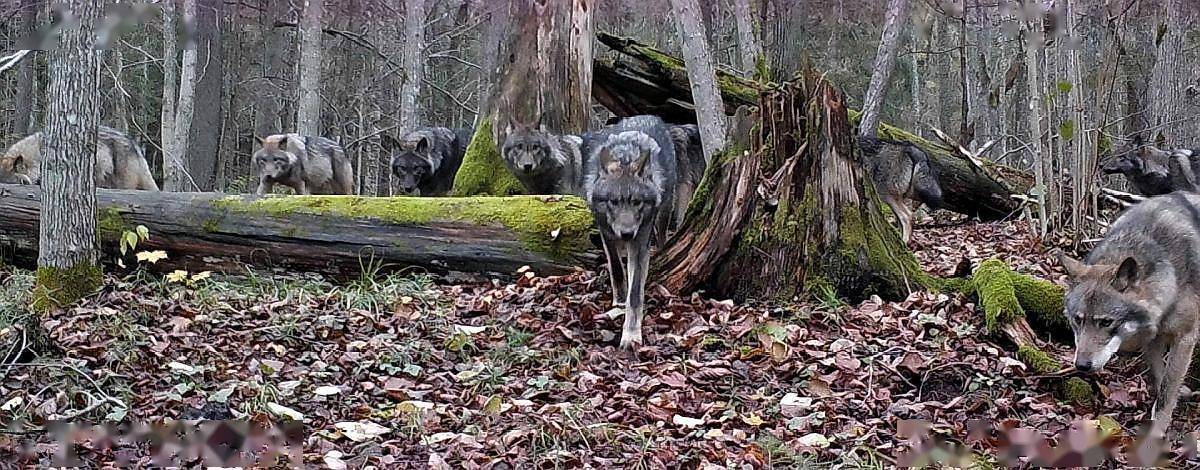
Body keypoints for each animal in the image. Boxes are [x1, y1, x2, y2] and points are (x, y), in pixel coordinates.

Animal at [585, 113, 681, 347]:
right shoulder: (606, 233)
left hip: (663, 213)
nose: (627, 234)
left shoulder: (640, 242)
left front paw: (631, 335)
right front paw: (619, 299)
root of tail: (648, 116)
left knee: (662, 235)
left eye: (637, 202)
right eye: (613, 202)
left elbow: (636, 293)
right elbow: (616, 268)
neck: (625, 156)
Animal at [1060, 190, 1200, 443]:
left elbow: (1167, 390)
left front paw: (1157, 431)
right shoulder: (1153, 339)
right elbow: (1160, 376)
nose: (1082, 365)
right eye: (1078, 320)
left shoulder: (1185, 337)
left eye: (1106, 322)